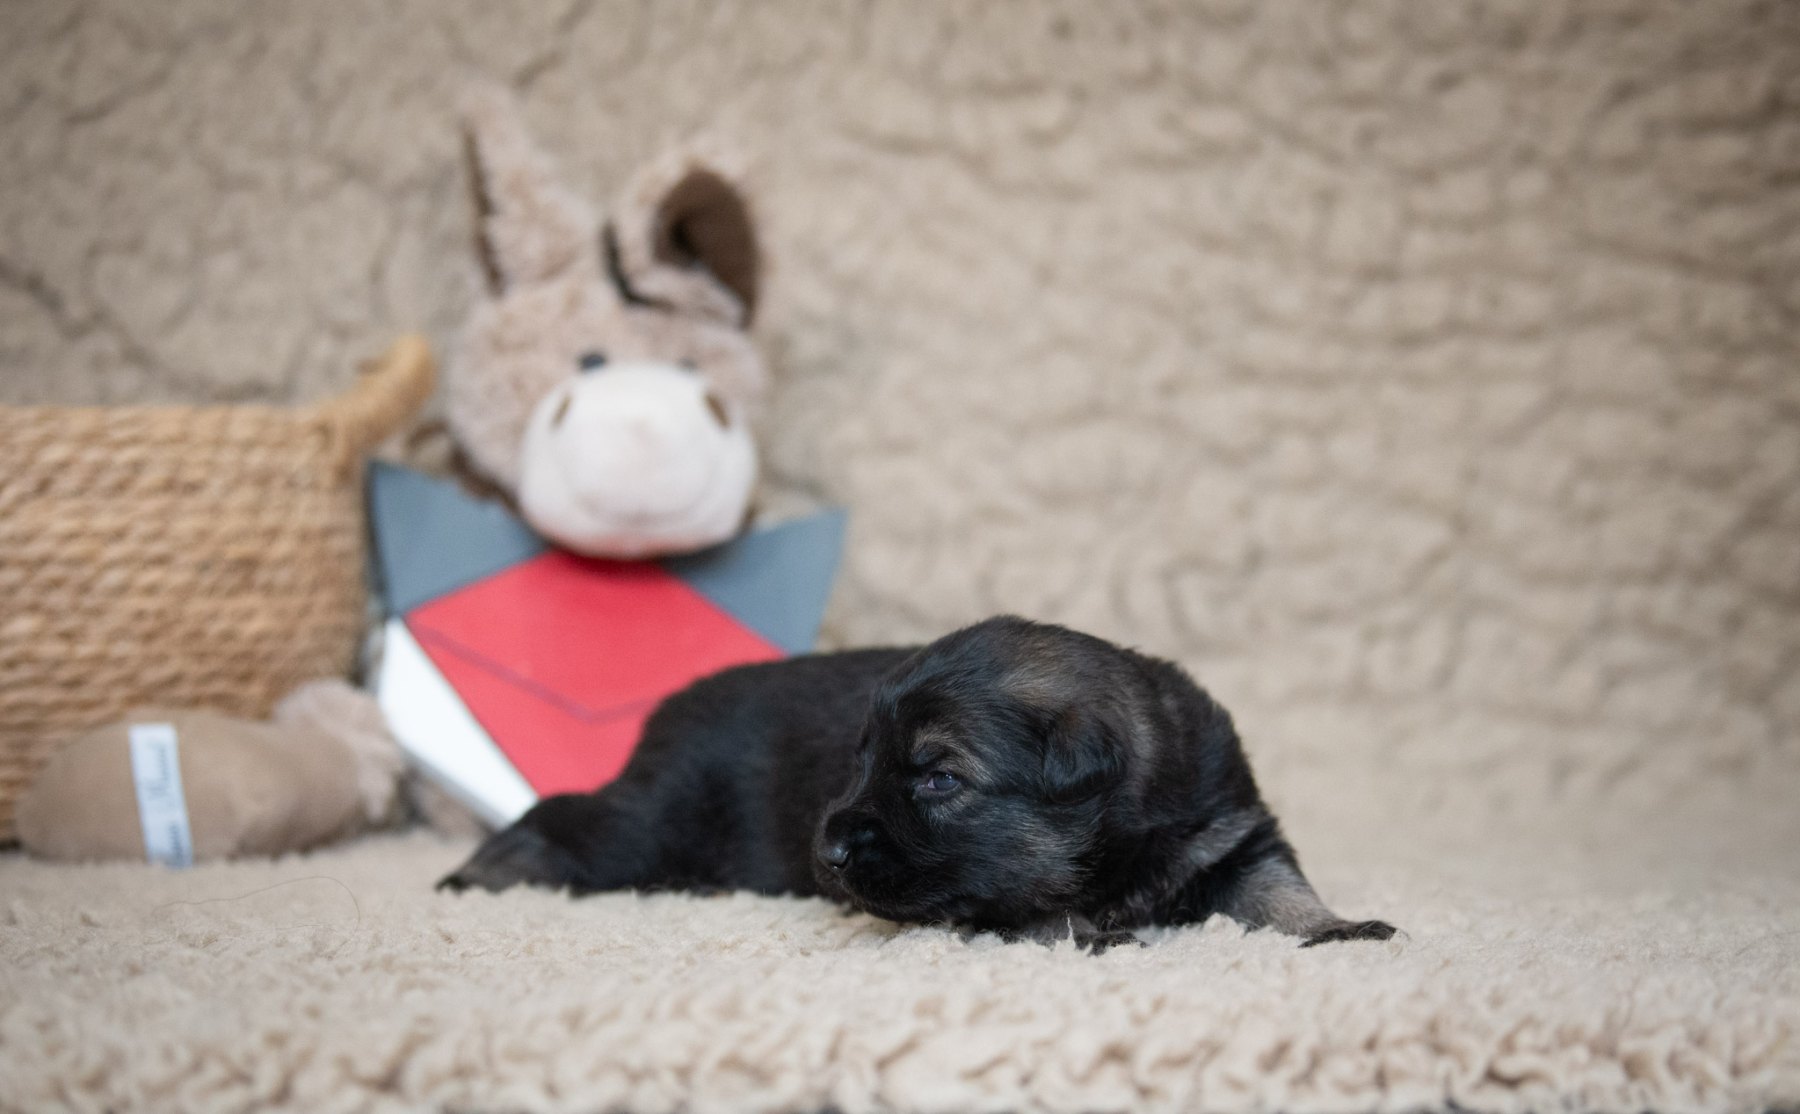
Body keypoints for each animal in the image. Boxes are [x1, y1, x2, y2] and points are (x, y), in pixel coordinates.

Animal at [440, 616, 1395, 951]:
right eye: (860, 762)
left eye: (937, 779)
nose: (823, 852)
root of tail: (669, 707)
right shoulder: (977, 892)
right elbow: (1030, 905)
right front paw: (1087, 931)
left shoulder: (1230, 834)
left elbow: (1279, 889)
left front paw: (1337, 926)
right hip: (654, 823)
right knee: (568, 817)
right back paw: (476, 874)